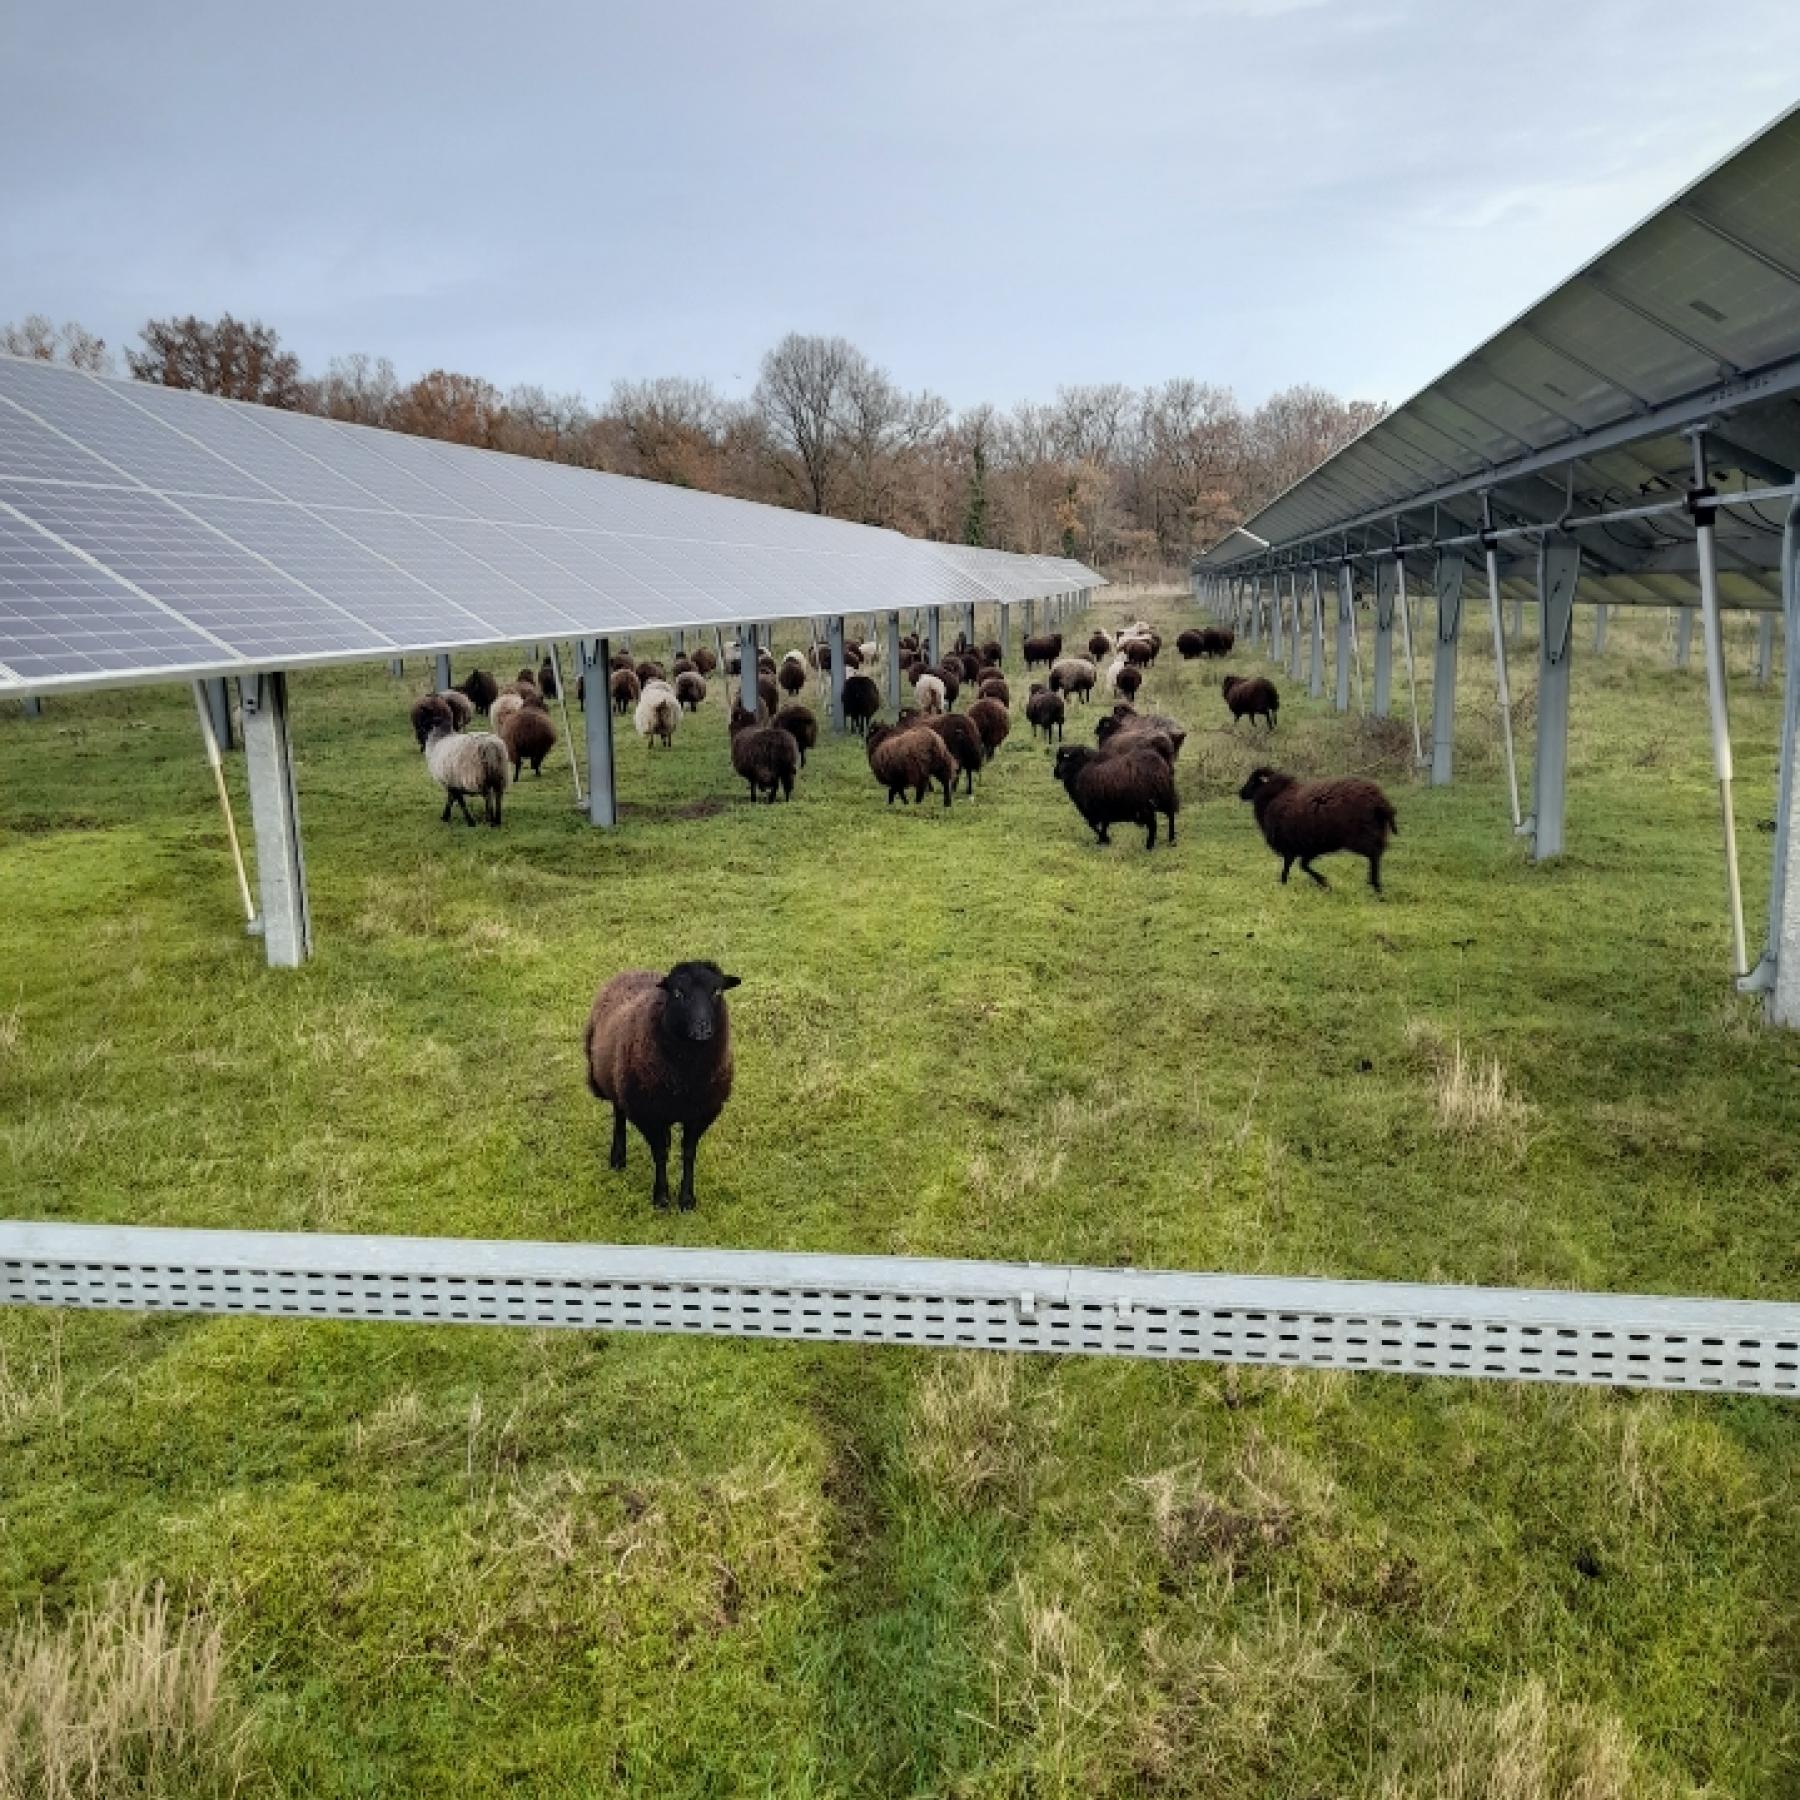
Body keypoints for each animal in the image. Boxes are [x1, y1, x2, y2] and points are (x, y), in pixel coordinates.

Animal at [583, 957, 738, 1209]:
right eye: (677, 993)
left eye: (717, 991)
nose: (702, 1028)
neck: (687, 1078)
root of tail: (632, 970)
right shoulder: (648, 1113)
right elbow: (660, 1153)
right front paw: (661, 1198)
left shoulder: (700, 1113)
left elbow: (688, 1153)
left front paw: (687, 1199)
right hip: (614, 1081)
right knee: (619, 1114)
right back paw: (618, 1158)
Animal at [1051, 748, 1180, 853]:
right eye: (1060, 759)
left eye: (1069, 759)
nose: (1056, 773)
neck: (1081, 769)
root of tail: (1157, 766)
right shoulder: (1103, 811)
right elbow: (1102, 825)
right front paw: (1103, 840)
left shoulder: (1094, 810)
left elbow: (1094, 826)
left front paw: (1105, 840)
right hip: (1164, 797)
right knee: (1170, 816)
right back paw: (1171, 840)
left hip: (1146, 805)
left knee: (1154, 824)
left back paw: (1149, 846)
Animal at [1245, 766, 1396, 892]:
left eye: (1252, 782)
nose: (1241, 792)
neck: (1273, 797)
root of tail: (1380, 801)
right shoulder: (1310, 846)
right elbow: (1302, 865)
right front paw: (1322, 882)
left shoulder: (1292, 846)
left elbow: (1293, 866)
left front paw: (1286, 883)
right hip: (1376, 831)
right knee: (1377, 853)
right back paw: (1375, 884)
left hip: (1361, 835)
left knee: (1374, 854)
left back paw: (1375, 885)